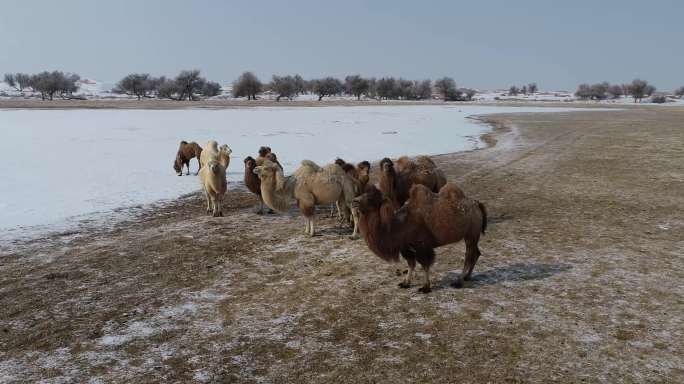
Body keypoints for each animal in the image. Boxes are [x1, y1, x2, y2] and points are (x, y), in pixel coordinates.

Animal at [352, 184, 486, 292]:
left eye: (371, 198)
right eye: (362, 193)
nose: (354, 201)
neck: (400, 225)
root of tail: (477, 204)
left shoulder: (422, 246)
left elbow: (424, 265)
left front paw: (425, 287)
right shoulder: (406, 248)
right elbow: (411, 264)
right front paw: (405, 283)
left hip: (471, 234)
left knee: (469, 255)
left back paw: (458, 281)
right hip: (473, 235)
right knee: (476, 253)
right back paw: (468, 276)